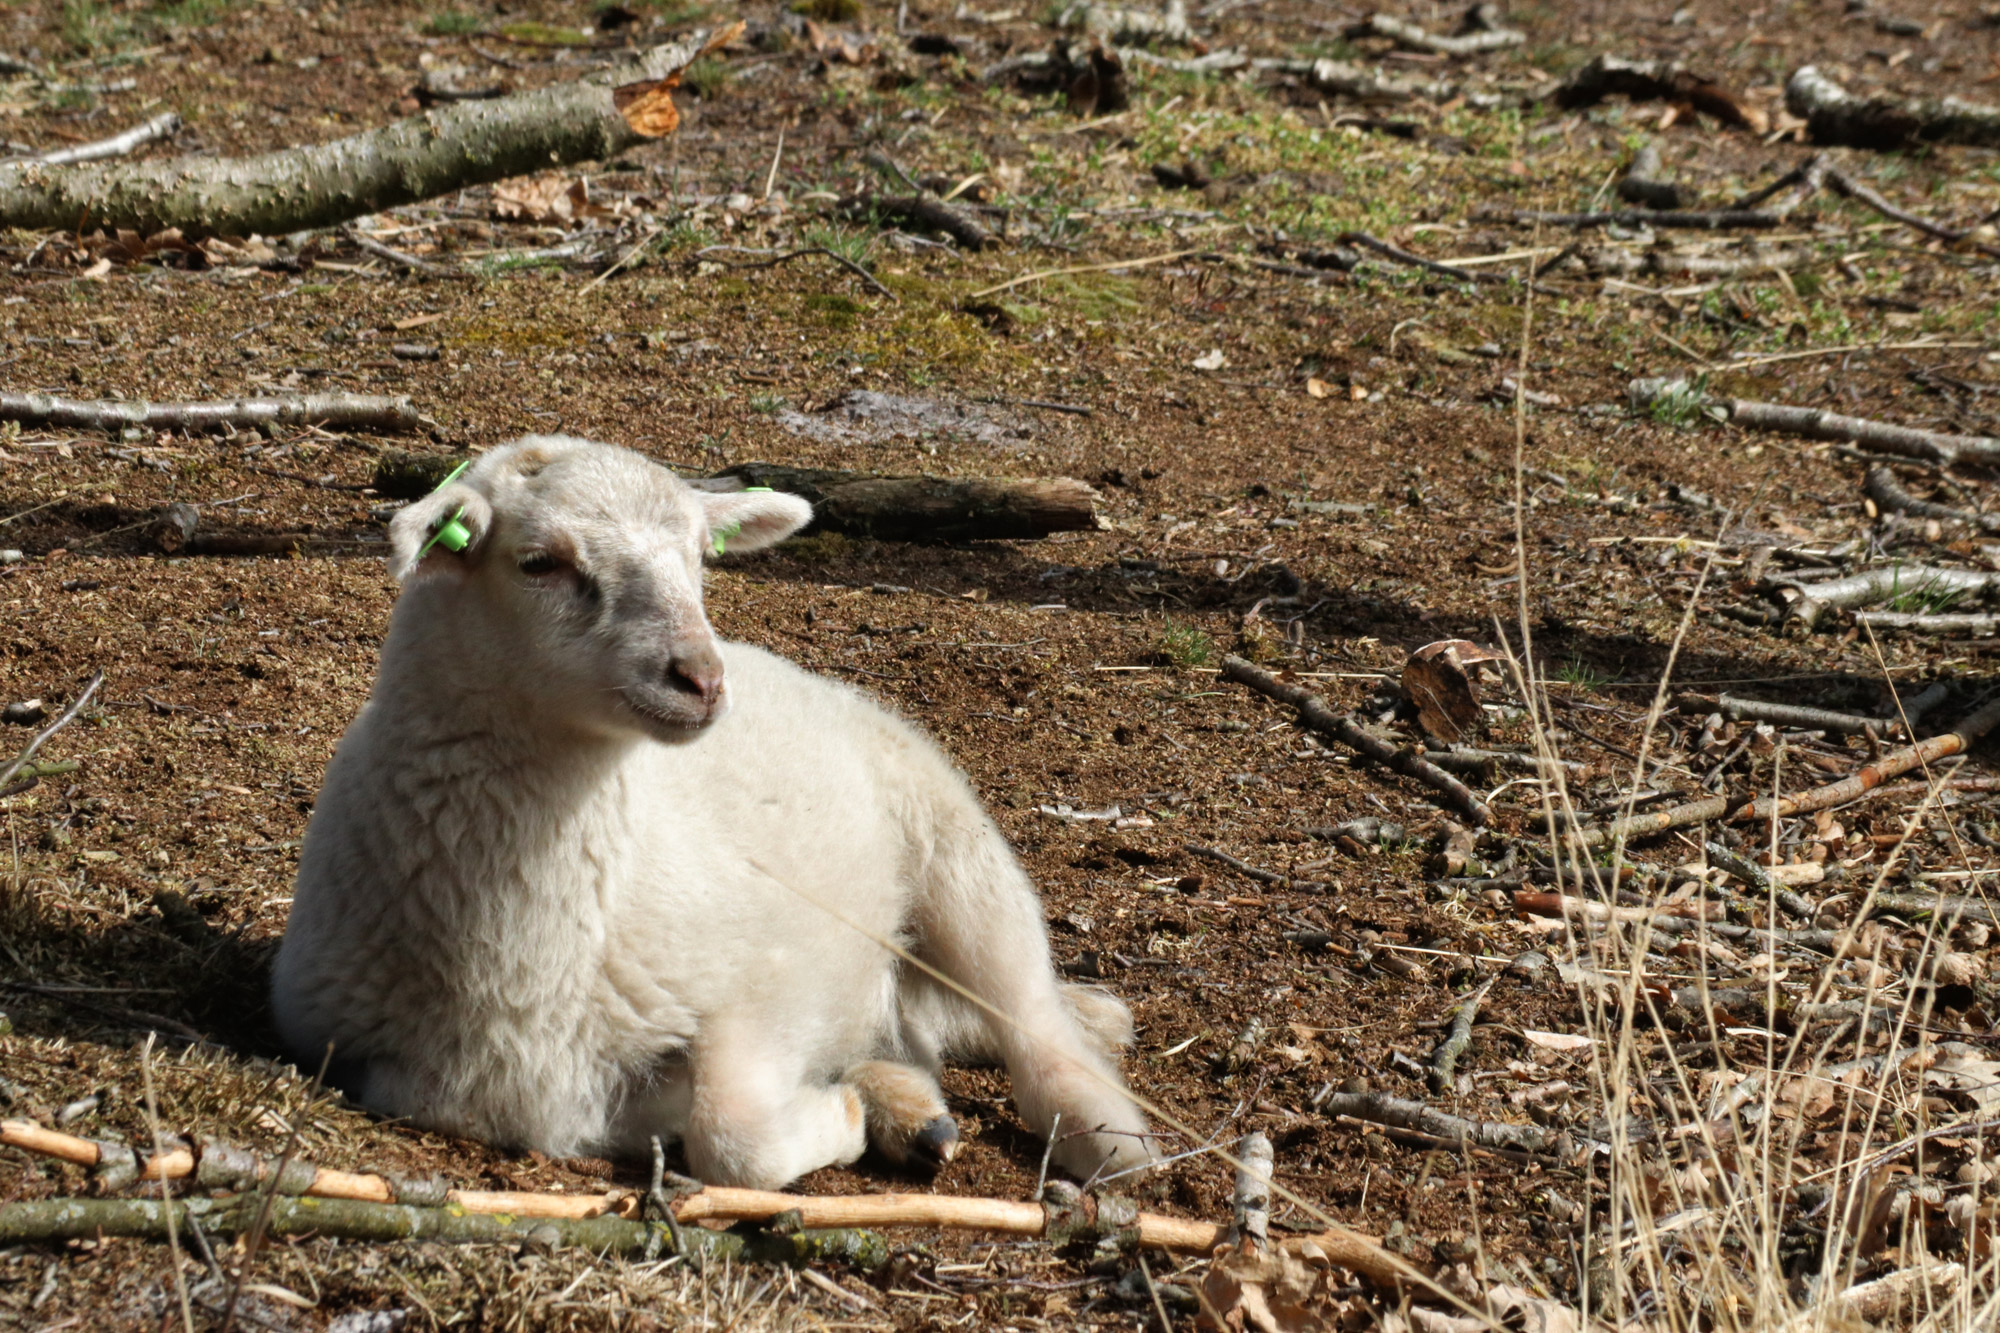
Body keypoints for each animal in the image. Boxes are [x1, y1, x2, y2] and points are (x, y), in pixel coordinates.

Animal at [278, 434, 1160, 1184]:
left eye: (703, 557)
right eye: (538, 562)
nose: (700, 677)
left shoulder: (770, 981)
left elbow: (733, 1136)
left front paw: (838, 1116)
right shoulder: (375, 1058)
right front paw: (859, 1107)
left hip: (953, 840)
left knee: (1029, 1015)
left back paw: (1108, 1129)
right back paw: (913, 1109)